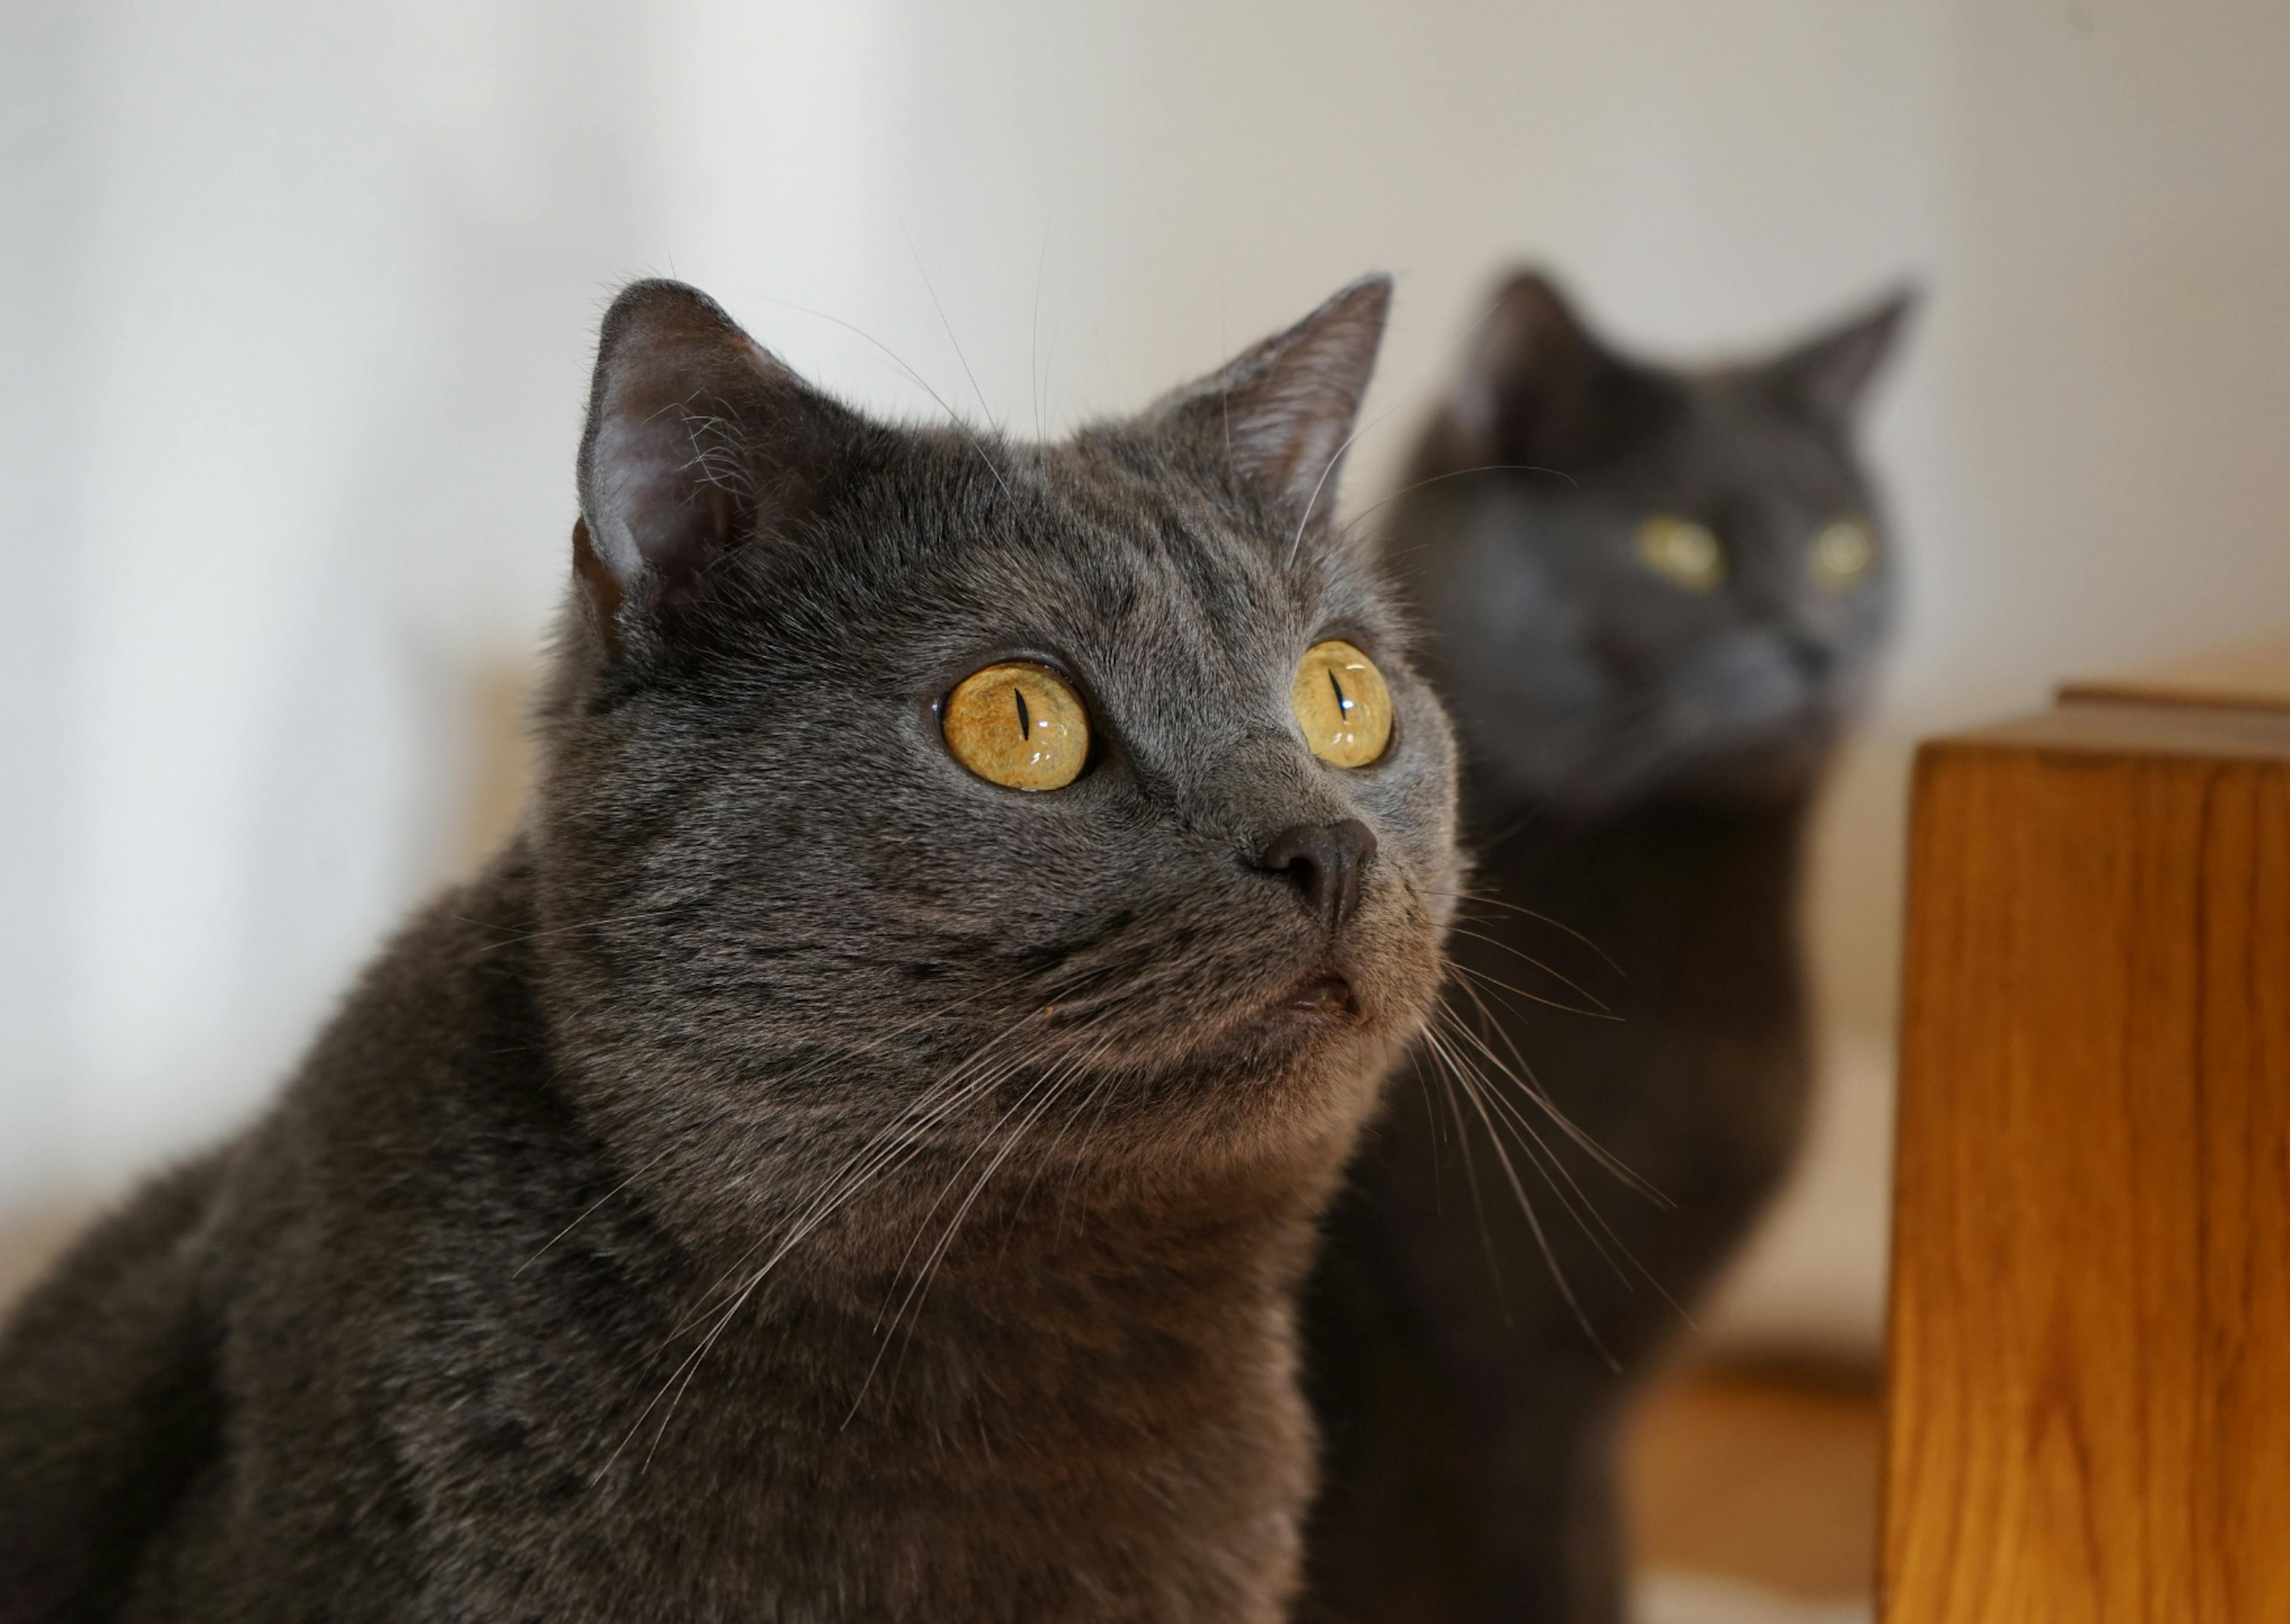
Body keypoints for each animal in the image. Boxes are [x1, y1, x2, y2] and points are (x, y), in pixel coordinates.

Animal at [1301, 269, 1905, 1622]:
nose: (1824, 637)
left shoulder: (1594, 1409)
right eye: (1680, 547)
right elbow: (1552, 1571)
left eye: (1848, 546)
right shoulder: (1503, 1381)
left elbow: (1607, 1561)